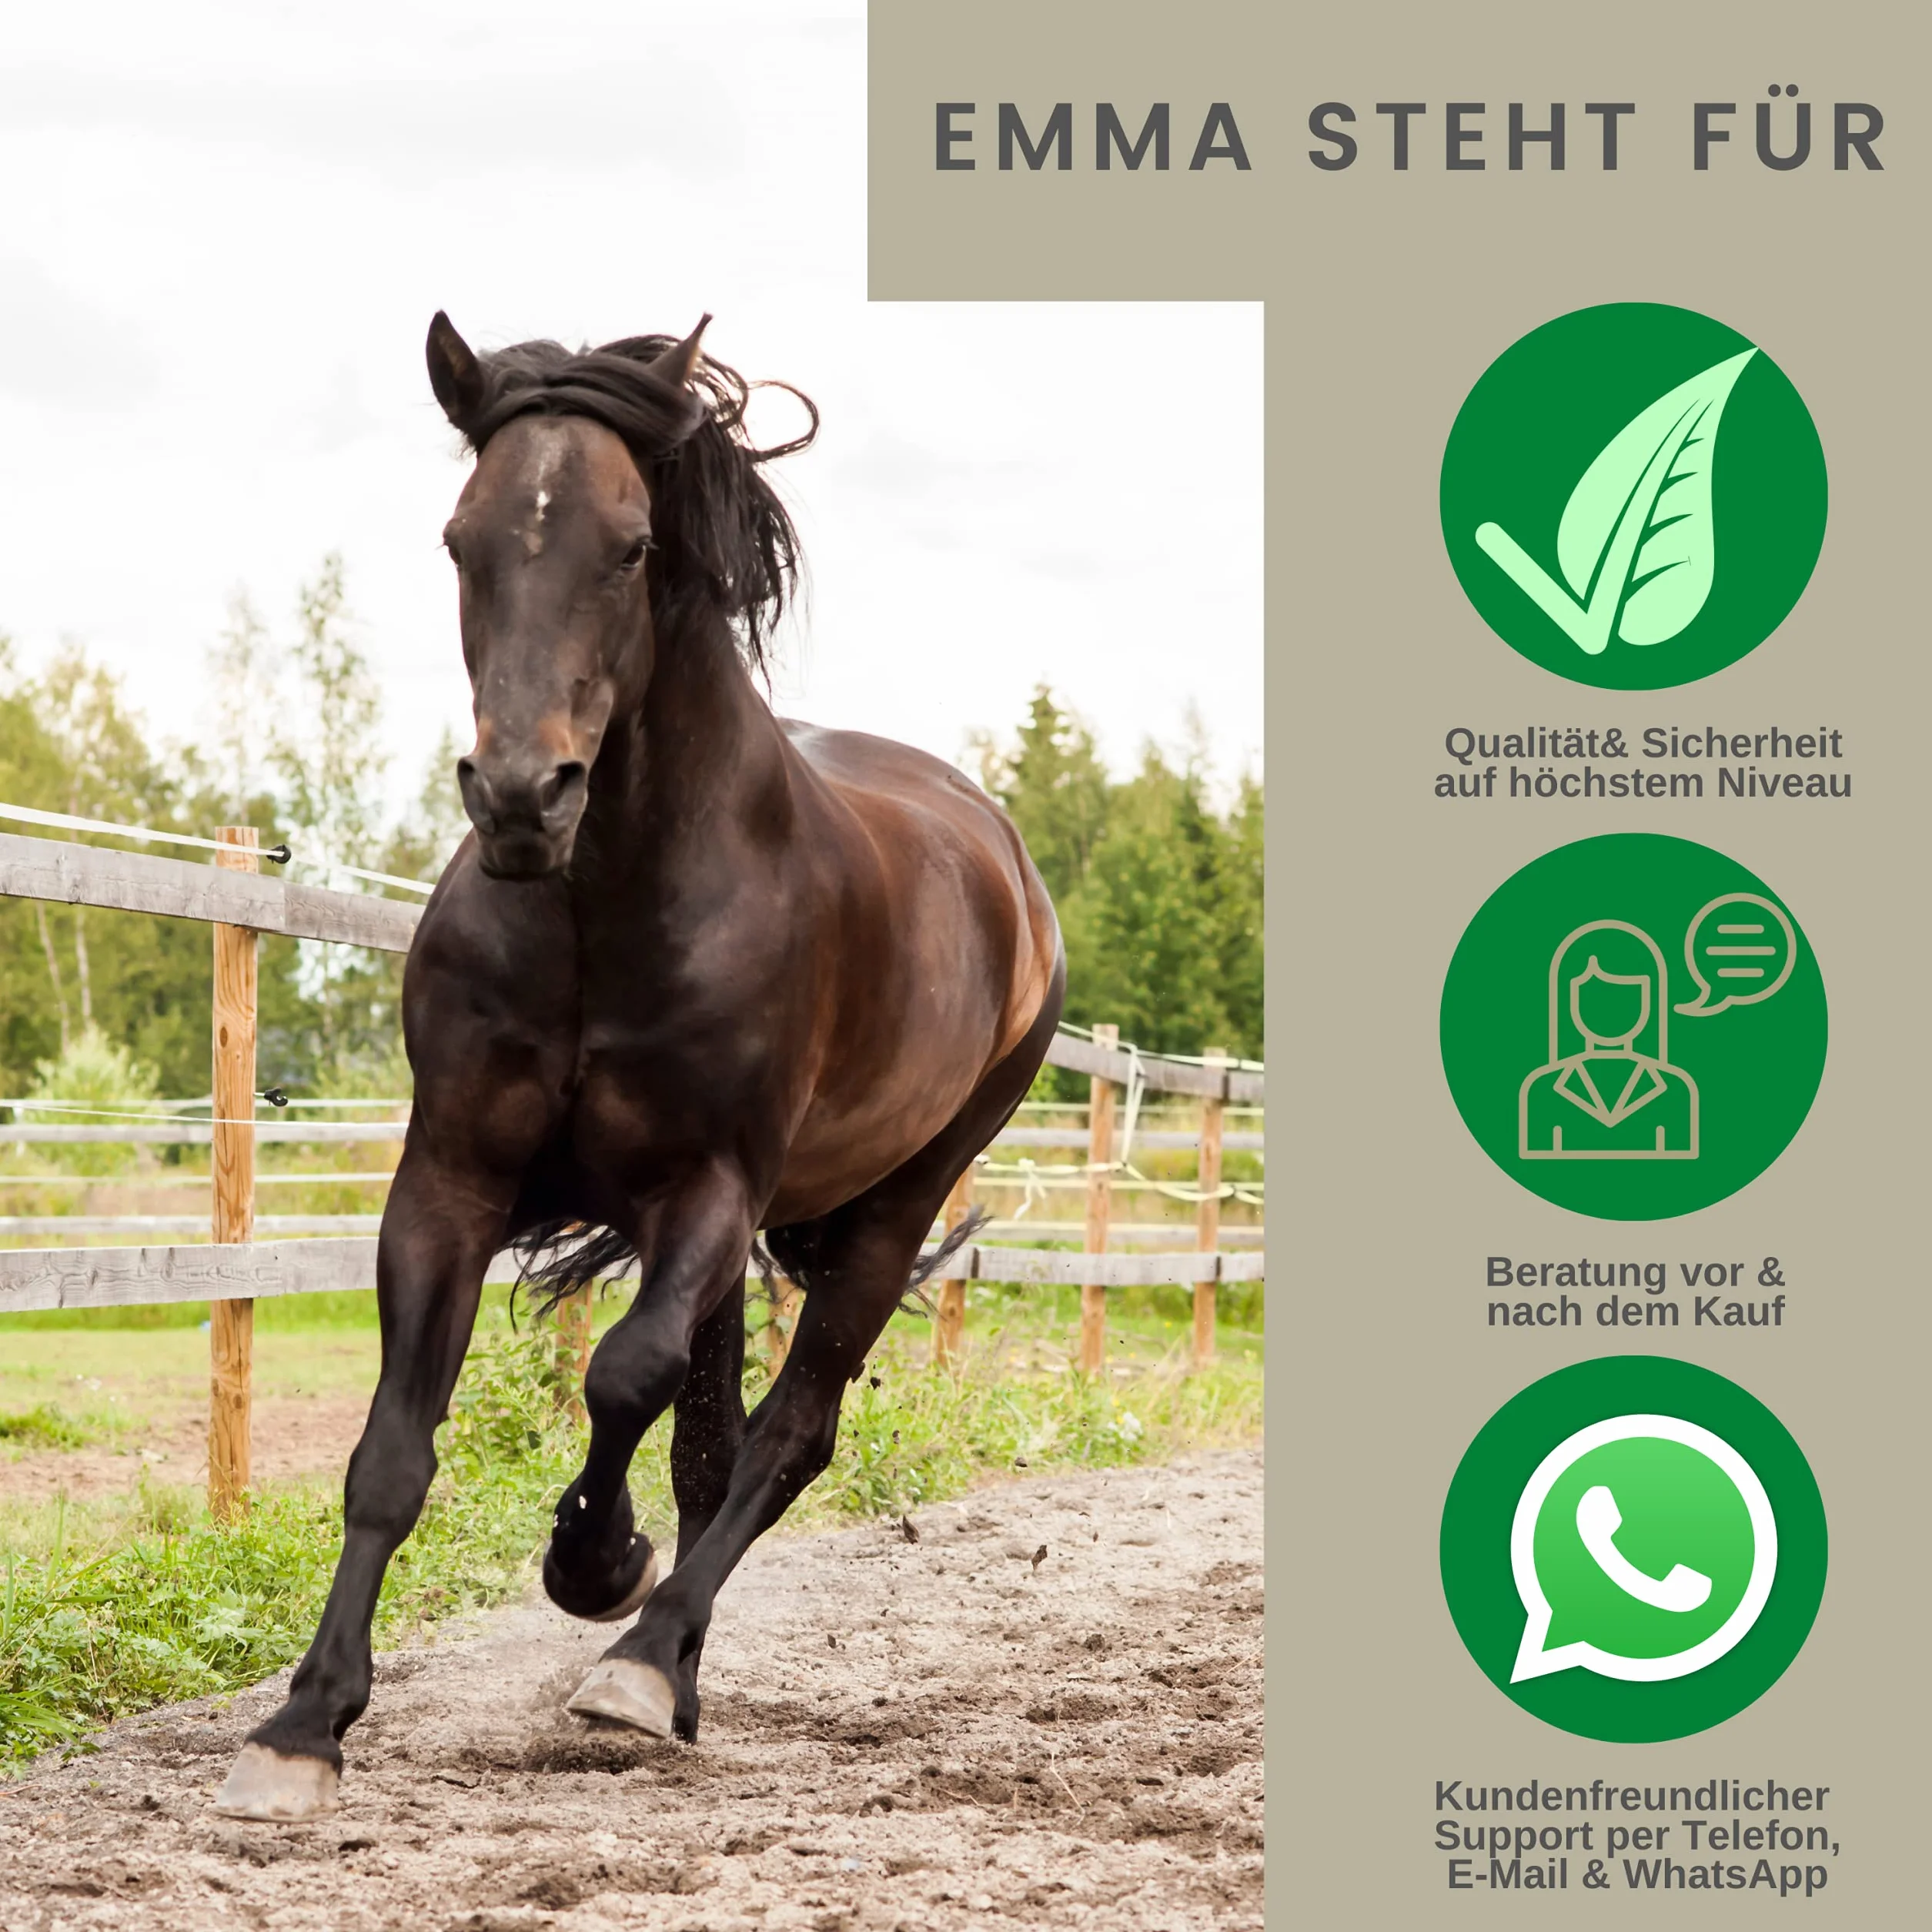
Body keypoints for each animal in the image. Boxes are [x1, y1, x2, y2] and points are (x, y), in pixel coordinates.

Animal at [215, 313, 1064, 1822]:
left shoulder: (709, 1190)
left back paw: (638, 1658)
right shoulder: (450, 1177)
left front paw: (593, 1566)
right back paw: (676, 1676)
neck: (608, 903)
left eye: (627, 547)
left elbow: (620, 1377)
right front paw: (304, 1724)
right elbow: (393, 1450)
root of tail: (1006, 863)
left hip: (897, 1202)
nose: (519, 796)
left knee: (787, 1434)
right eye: (460, 541)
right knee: (713, 1445)